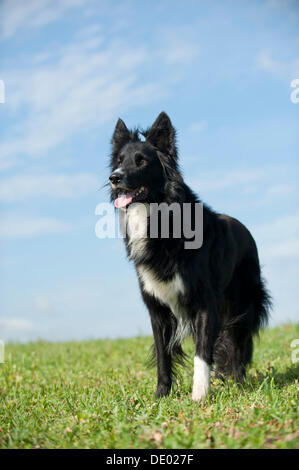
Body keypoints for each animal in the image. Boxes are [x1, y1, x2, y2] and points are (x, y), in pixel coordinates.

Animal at [108, 111, 272, 400]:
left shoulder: (205, 303)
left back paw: (238, 381)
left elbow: (202, 354)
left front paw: (199, 395)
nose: (114, 178)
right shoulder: (157, 308)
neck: (158, 216)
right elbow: (163, 355)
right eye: (119, 161)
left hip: (244, 302)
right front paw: (161, 395)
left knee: (238, 343)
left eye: (141, 161)